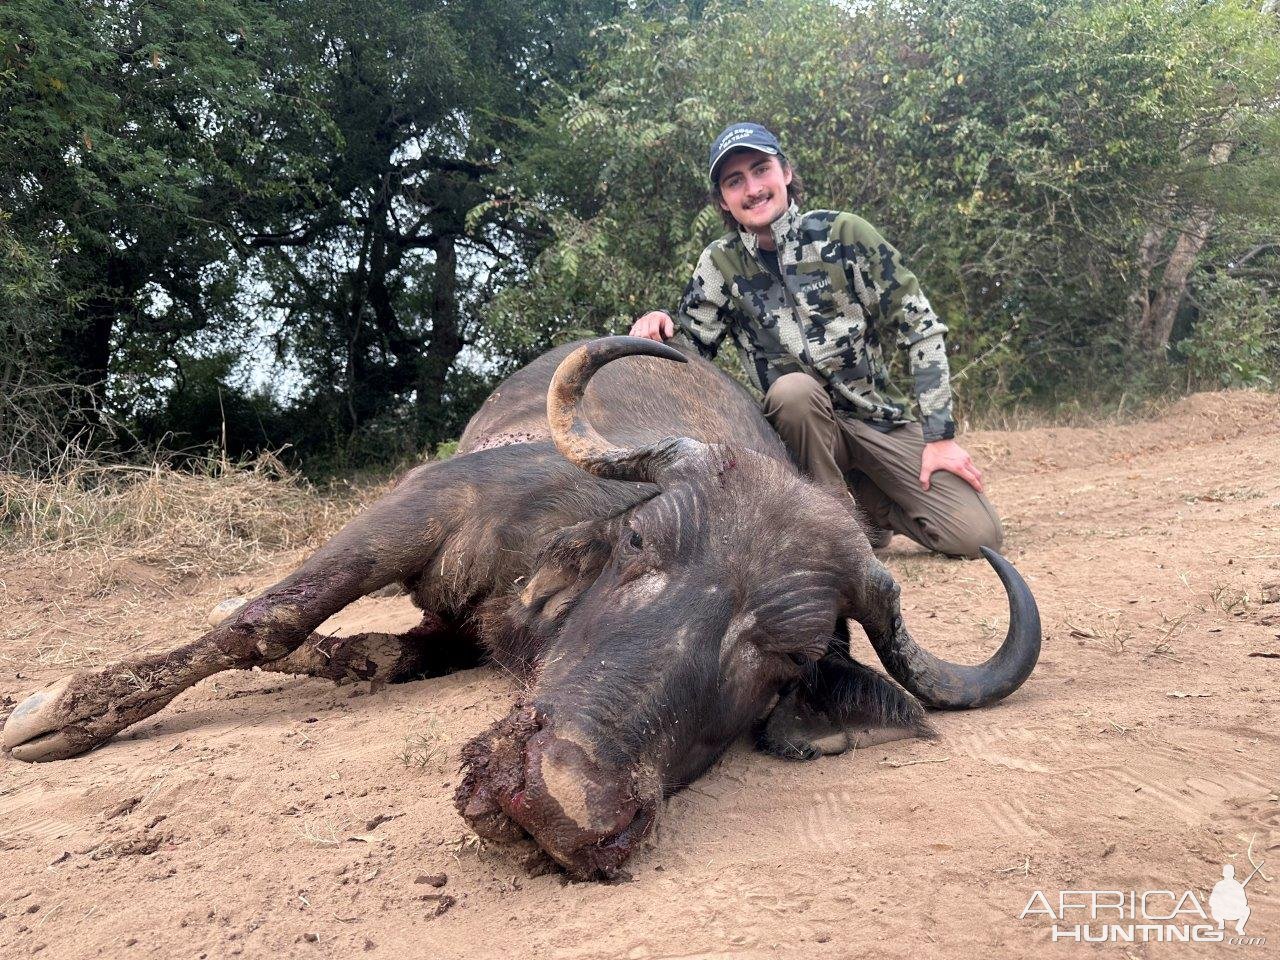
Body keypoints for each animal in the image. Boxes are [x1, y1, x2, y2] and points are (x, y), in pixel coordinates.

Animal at [2, 335, 1039, 880]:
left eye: (786, 658)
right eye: (642, 545)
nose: (560, 798)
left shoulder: (451, 629)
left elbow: (358, 649)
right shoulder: (417, 509)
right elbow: (270, 619)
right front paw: (65, 709)